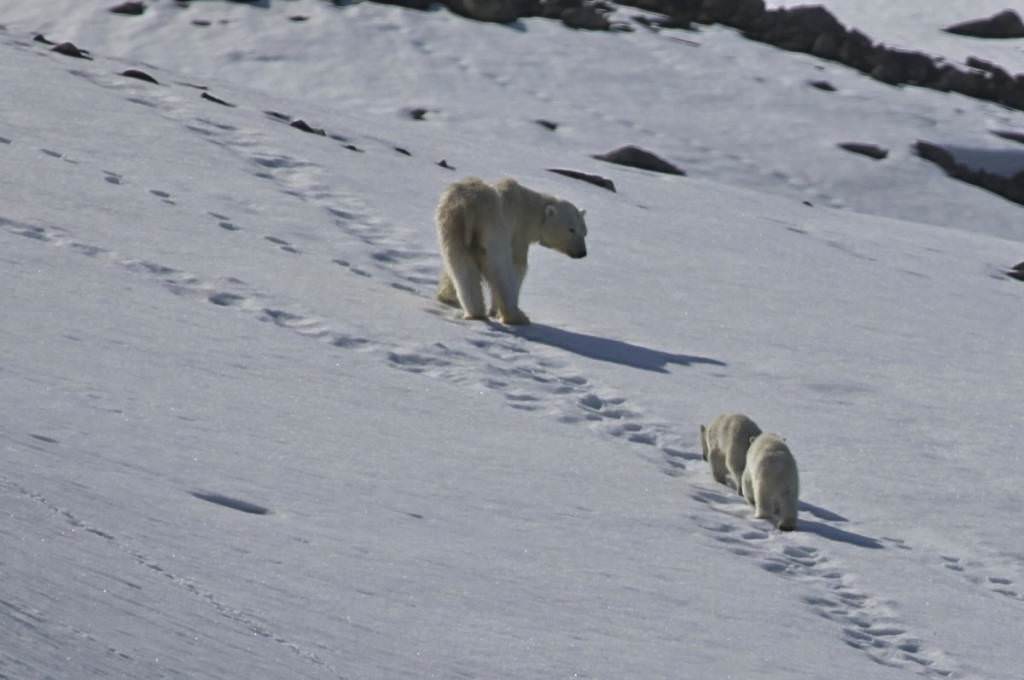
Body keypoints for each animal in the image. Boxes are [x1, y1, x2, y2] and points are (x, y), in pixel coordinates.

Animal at [436, 178, 589, 327]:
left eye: (585, 232)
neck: (528, 206)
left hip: (453, 224)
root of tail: (468, 207)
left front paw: (448, 296)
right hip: (493, 226)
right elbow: (518, 266)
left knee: (461, 265)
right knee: (501, 267)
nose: (582, 253)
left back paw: (474, 313)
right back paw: (516, 317)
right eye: (571, 229)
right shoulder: (518, 230)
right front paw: (496, 311)